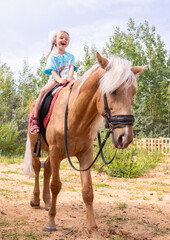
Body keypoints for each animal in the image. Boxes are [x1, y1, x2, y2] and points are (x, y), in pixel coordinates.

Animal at [23, 52, 147, 238]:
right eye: (112, 91)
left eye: (133, 93)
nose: (125, 137)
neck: (75, 116)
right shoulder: (56, 150)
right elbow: (56, 185)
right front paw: (51, 223)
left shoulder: (85, 155)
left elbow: (88, 191)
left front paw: (93, 229)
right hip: (35, 146)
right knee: (38, 168)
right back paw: (36, 200)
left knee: (48, 170)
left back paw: (47, 202)